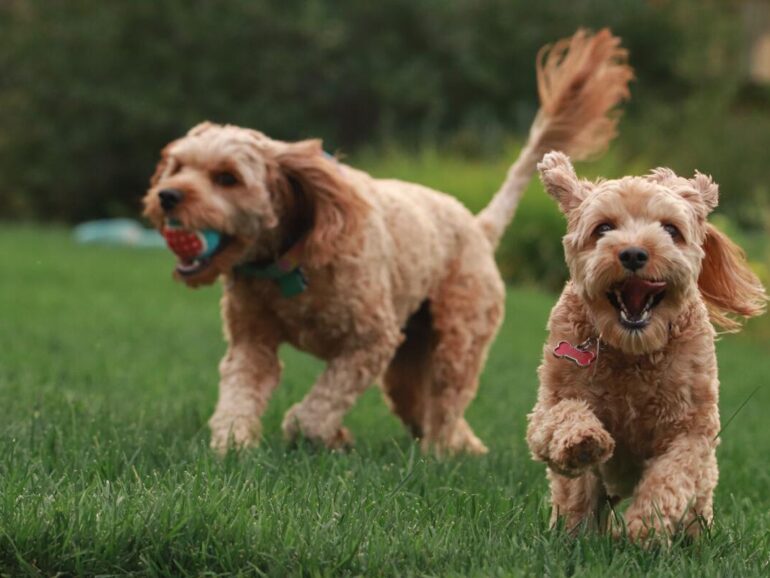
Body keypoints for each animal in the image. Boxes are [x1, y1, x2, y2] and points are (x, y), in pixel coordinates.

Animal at [144, 30, 632, 454]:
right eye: (177, 166)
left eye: (227, 178)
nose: (166, 196)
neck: (289, 262)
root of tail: (478, 226)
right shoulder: (252, 341)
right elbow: (239, 393)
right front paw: (233, 445)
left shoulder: (371, 340)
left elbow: (316, 408)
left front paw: (319, 433)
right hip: (409, 357)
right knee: (423, 403)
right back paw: (462, 447)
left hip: (458, 338)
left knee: (447, 400)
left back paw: (442, 452)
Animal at [524, 151, 764, 536]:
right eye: (603, 228)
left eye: (670, 230)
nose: (634, 254)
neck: (631, 350)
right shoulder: (550, 403)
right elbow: (562, 416)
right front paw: (584, 441)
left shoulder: (692, 429)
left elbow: (673, 474)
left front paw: (646, 526)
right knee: (577, 500)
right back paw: (573, 533)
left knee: (696, 504)